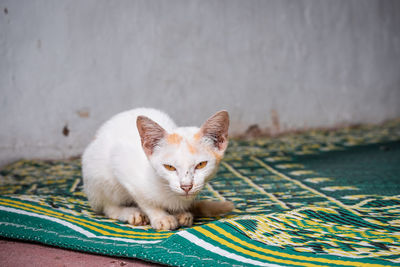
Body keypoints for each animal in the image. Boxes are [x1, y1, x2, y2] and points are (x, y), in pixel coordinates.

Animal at [81, 108, 233, 231]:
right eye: (169, 167)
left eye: (201, 165)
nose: (186, 186)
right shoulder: (121, 163)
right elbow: (144, 200)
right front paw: (161, 217)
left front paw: (179, 212)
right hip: (98, 176)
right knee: (108, 207)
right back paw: (130, 212)